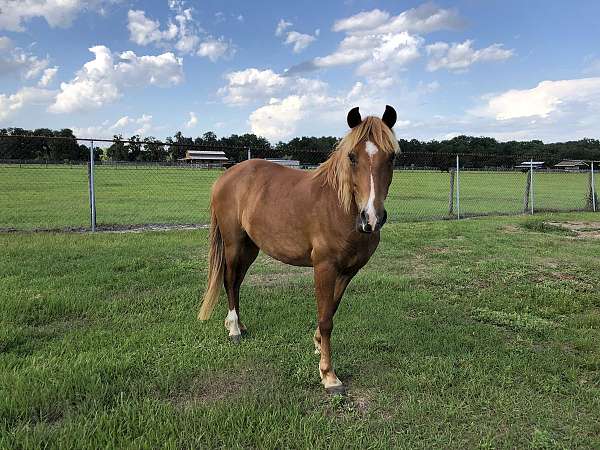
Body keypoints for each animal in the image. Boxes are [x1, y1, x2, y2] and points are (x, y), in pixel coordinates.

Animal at [199, 106, 400, 394]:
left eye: (392, 156)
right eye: (352, 157)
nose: (371, 218)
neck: (339, 208)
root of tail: (226, 176)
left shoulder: (347, 271)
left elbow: (331, 310)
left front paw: (317, 345)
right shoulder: (324, 268)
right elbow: (326, 319)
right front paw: (329, 375)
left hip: (251, 248)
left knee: (236, 284)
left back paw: (239, 325)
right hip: (234, 244)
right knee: (228, 280)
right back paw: (234, 329)